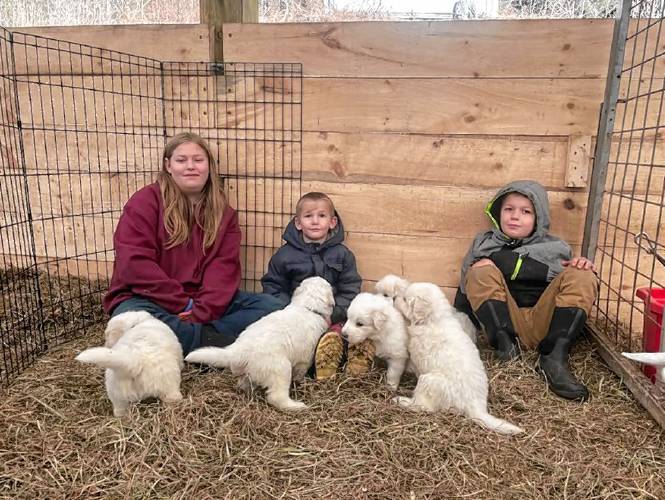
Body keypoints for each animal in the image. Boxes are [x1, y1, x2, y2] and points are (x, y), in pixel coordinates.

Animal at [184, 278, 334, 410]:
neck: (307, 307)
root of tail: (235, 352)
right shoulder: (305, 358)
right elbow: (300, 372)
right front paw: (299, 383)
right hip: (281, 369)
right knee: (276, 397)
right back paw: (296, 406)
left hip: (247, 373)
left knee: (244, 384)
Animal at [392, 284, 520, 436]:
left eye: (405, 299)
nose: (393, 297)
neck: (434, 319)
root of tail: (476, 406)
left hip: (428, 381)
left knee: (423, 406)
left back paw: (401, 400)